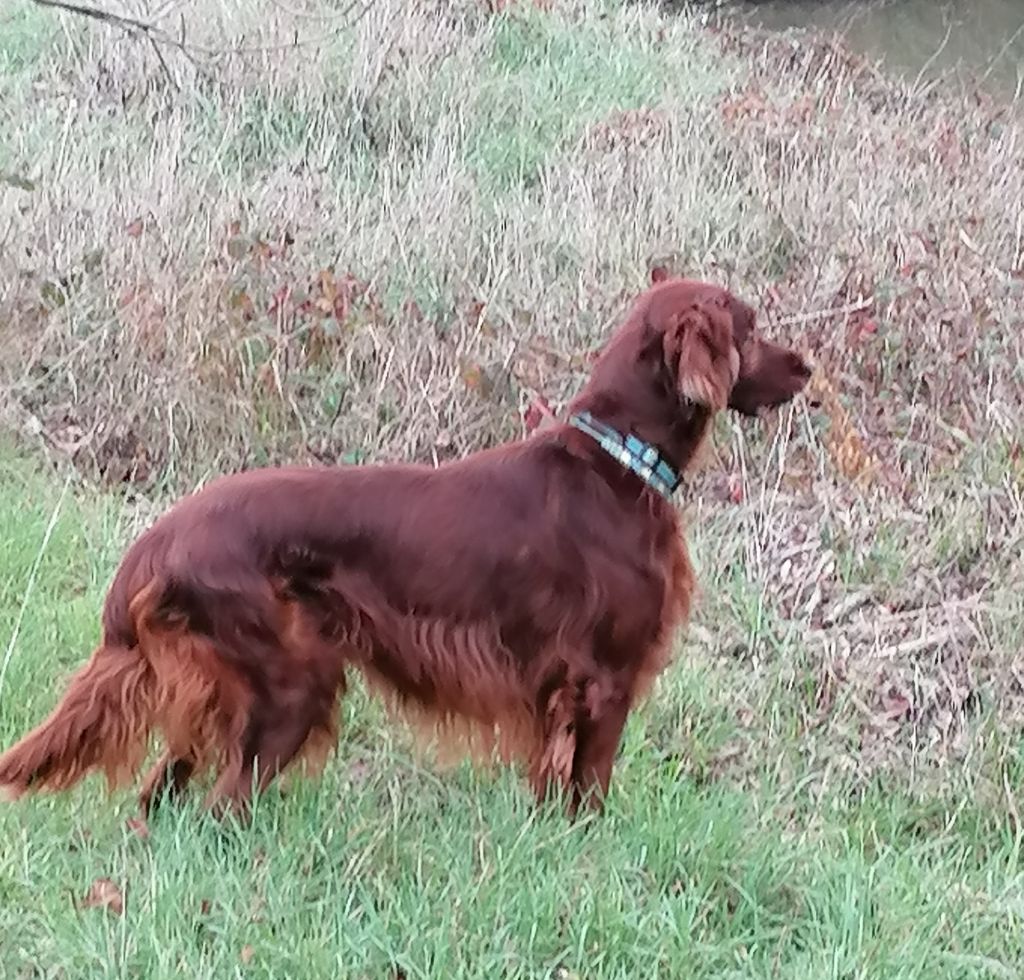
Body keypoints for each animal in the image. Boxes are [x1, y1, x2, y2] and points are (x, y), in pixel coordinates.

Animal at [0, 276, 811, 819]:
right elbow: (591, 792)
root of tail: (157, 540)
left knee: (162, 797)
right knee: (222, 805)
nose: (806, 366)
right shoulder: (604, 682)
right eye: (750, 329)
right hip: (292, 682)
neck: (619, 459)